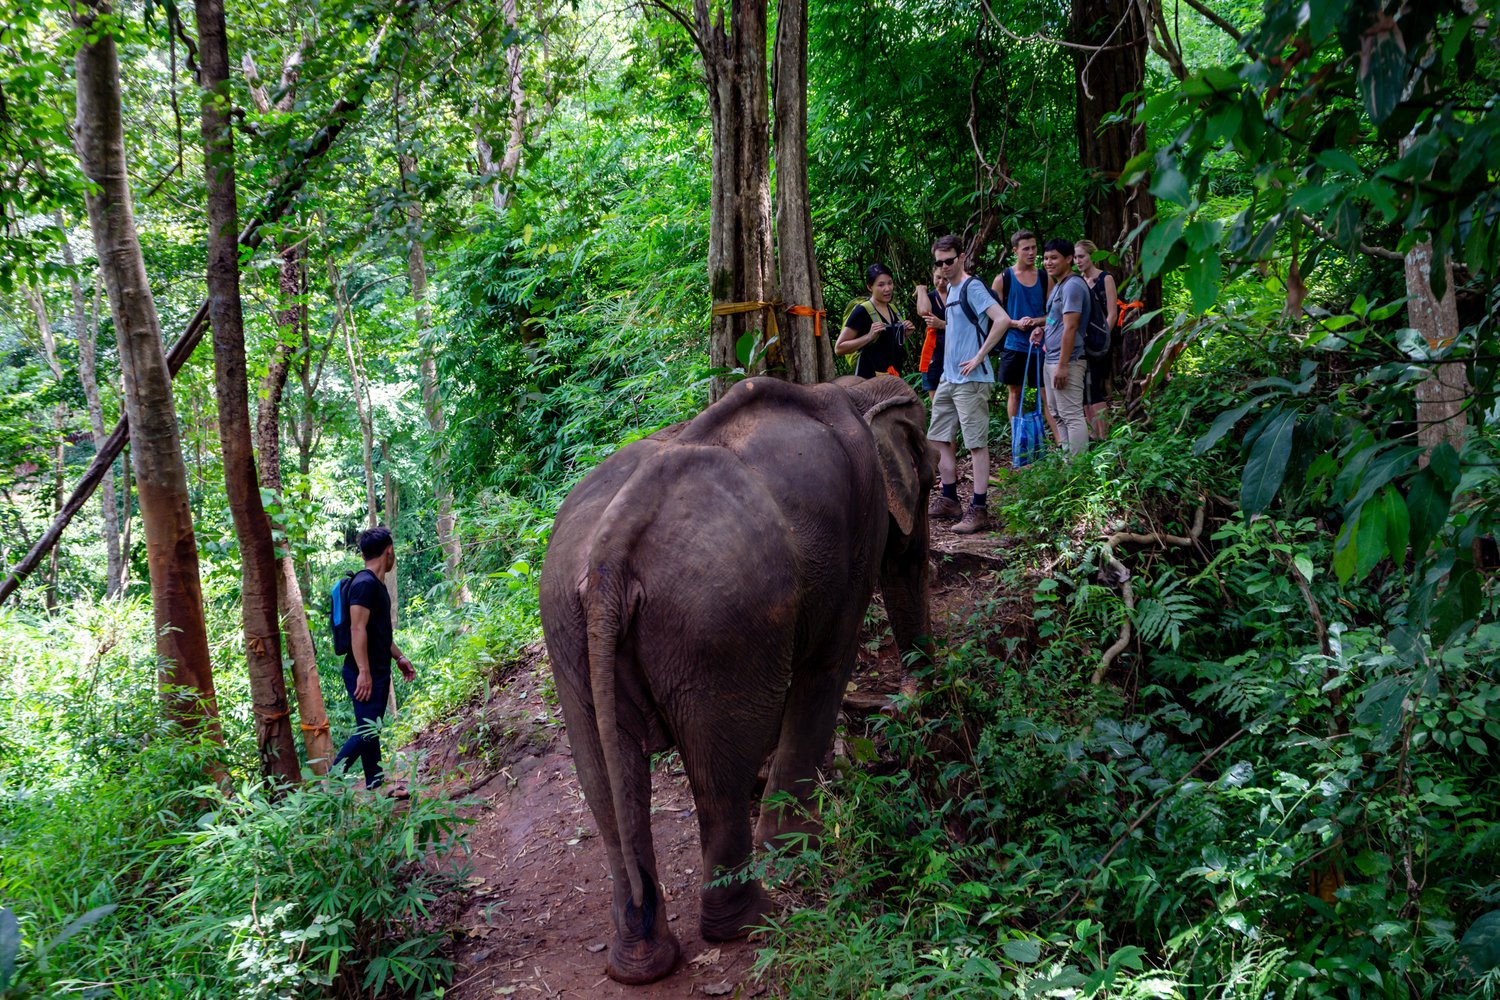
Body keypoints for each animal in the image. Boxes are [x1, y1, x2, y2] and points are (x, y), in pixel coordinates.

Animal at [539, 373, 933, 985]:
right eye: (933, 480)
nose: (914, 703)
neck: (853, 387)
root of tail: (610, 552)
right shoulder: (860, 532)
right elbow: (826, 669)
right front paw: (798, 848)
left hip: (570, 632)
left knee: (604, 779)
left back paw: (640, 964)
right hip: (713, 626)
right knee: (717, 771)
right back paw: (751, 921)